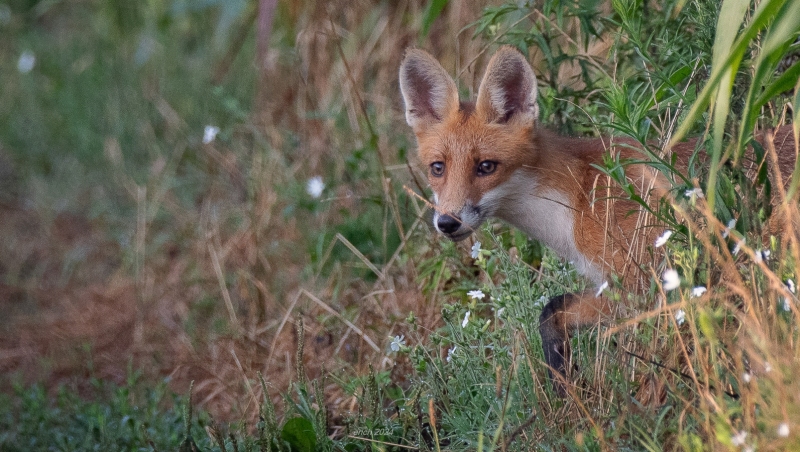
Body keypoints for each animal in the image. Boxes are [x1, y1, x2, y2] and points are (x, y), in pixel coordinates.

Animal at [396, 46, 796, 396]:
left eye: (486, 167)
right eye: (437, 168)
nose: (447, 222)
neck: (577, 203)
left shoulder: (648, 284)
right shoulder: (613, 288)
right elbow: (552, 311)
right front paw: (565, 386)